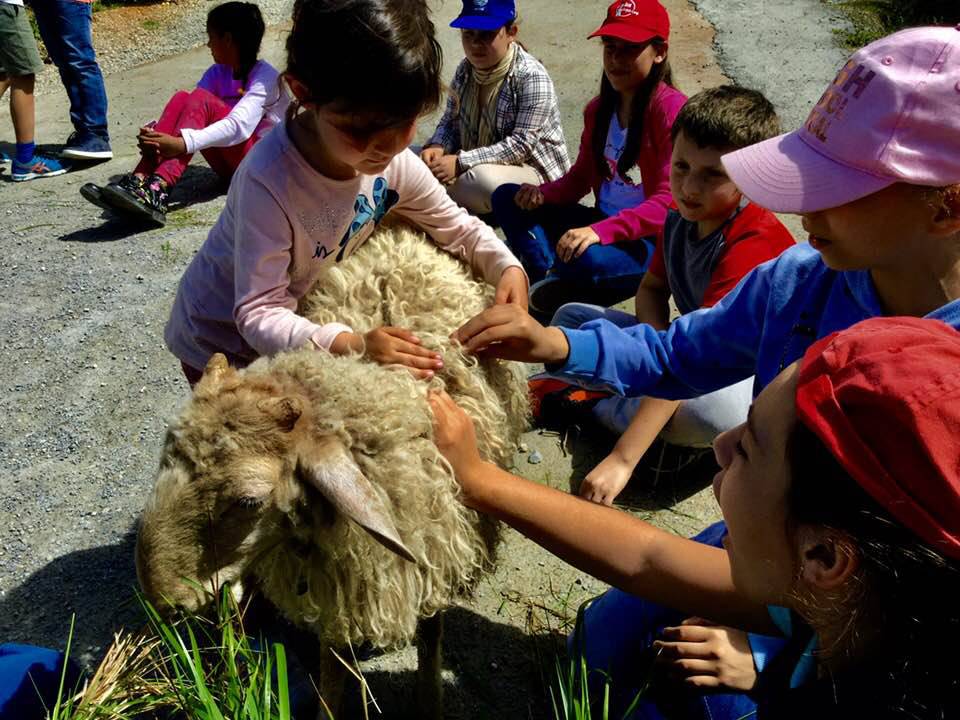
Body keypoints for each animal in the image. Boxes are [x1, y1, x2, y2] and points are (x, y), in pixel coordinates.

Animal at [135, 225, 528, 716]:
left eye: (249, 500)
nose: (161, 599)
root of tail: (399, 233)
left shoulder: (434, 548)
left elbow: (430, 639)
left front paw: (430, 702)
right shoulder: (339, 577)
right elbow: (333, 661)